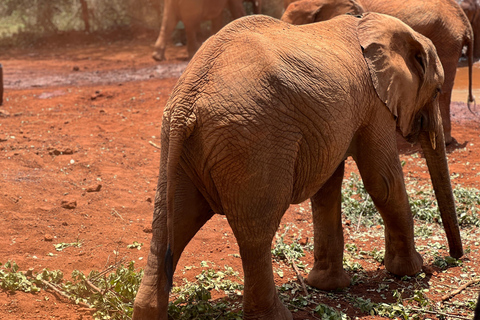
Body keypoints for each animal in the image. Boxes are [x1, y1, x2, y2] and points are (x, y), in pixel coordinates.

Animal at [133, 11, 464, 320]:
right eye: (437, 90)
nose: (455, 258)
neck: (372, 23)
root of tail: (187, 99)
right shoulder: (373, 103)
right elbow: (382, 181)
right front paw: (411, 270)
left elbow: (328, 189)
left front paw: (328, 286)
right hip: (254, 140)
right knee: (256, 232)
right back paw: (276, 315)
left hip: (182, 146)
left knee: (169, 223)